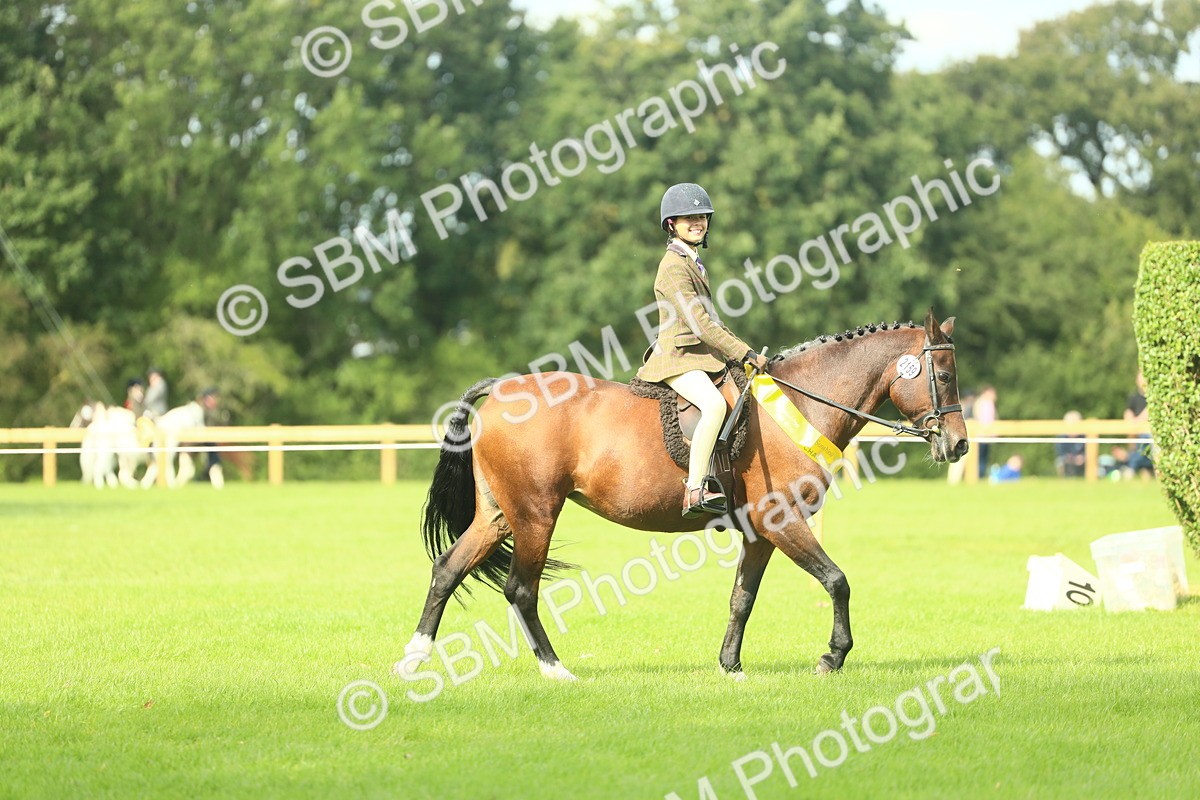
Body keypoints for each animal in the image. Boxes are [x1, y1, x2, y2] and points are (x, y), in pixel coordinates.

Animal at [397, 309, 968, 680]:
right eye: (943, 375)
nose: (959, 444)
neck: (799, 406)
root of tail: (500, 391)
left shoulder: (760, 532)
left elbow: (742, 598)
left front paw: (731, 667)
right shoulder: (784, 521)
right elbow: (837, 581)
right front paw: (833, 657)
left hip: (499, 515)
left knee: (447, 569)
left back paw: (413, 660)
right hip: (536, 514)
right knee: (521, 589)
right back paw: (556, 670)